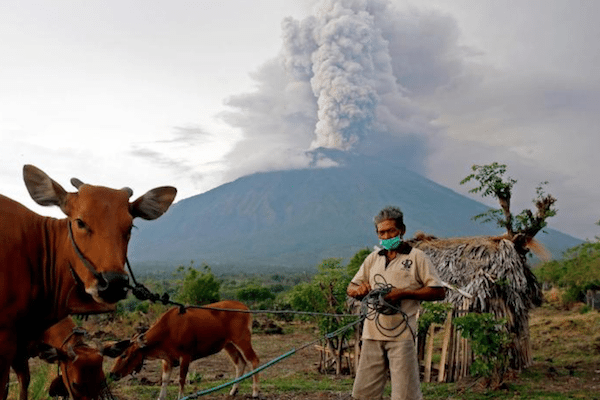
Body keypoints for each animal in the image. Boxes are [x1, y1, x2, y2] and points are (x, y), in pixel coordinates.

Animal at [109, 300, 258, 400]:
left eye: (124, 355)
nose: (112, 374)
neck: (168, 329)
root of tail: (244, 308)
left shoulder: (185, 356)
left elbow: (181, 379)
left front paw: (181, 396)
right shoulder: (167, 360)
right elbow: (164, 380)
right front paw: (161, 397)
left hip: (242, 340)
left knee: (254, 360)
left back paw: (255, 392)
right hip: (229, 345)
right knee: (240, 364)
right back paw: (233, 391)